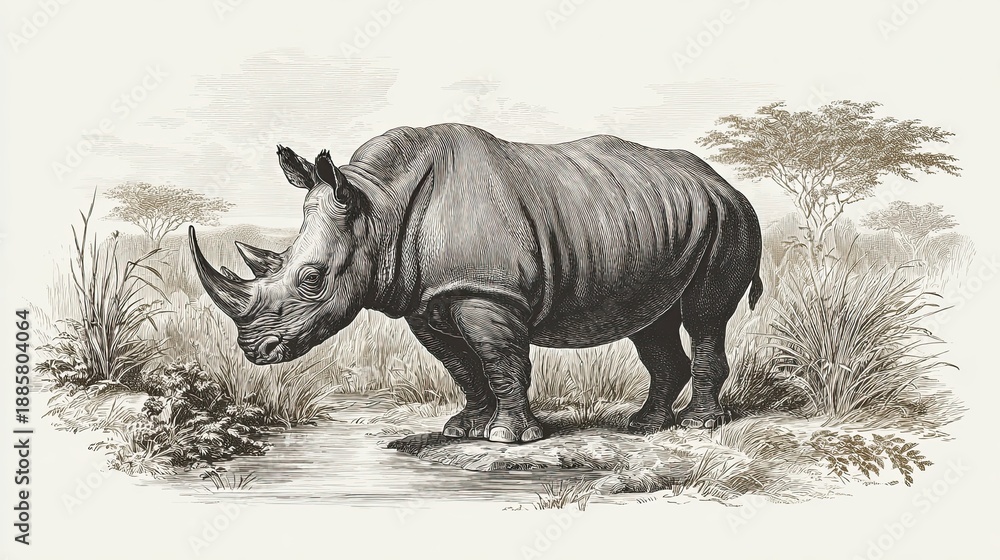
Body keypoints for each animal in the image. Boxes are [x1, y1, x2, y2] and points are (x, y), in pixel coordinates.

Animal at [189, 123, 763, 443]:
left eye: (312, 278)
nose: (253, 350)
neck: (379, 205)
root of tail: (722, 181)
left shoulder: (486, 292)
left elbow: (499, 359)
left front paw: (508, 437)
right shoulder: (426, 298)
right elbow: (460, 365)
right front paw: (464, 429)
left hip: (729, 217)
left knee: (704, 317)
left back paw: (698, 426)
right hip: (665, 220)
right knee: (651, 321)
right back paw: (644, 426)